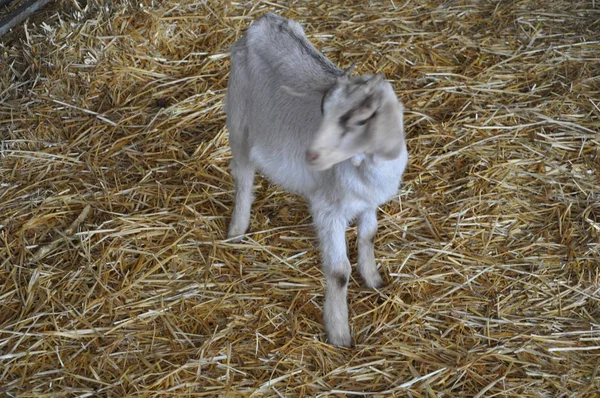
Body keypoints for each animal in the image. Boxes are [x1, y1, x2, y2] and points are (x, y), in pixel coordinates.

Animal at [225, 14, 408, 346]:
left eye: (360, 121)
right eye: (325, 112)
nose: (311, 155)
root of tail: (264, 20)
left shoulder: (369, 202)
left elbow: (369, 235)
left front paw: (374, 280)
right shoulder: (329, 211)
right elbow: (338, 272)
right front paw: (339, 334)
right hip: (238, 117)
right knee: (243, 175)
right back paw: (237, 230)